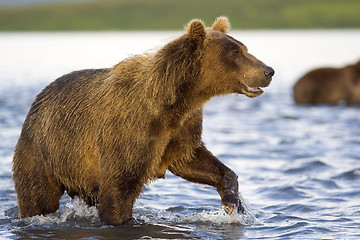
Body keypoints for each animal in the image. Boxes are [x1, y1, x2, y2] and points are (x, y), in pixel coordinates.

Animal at [12, 16, 274, 225]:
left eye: (244, 47)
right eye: (235, 52)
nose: (269, 71)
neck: (173, 102)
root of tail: (39, 99)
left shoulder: (180, 129)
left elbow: (193, 160)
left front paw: (233, 203)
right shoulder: (130, 130)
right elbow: (119, 189)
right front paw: (122, 219)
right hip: (44, 151)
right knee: (37, 196)